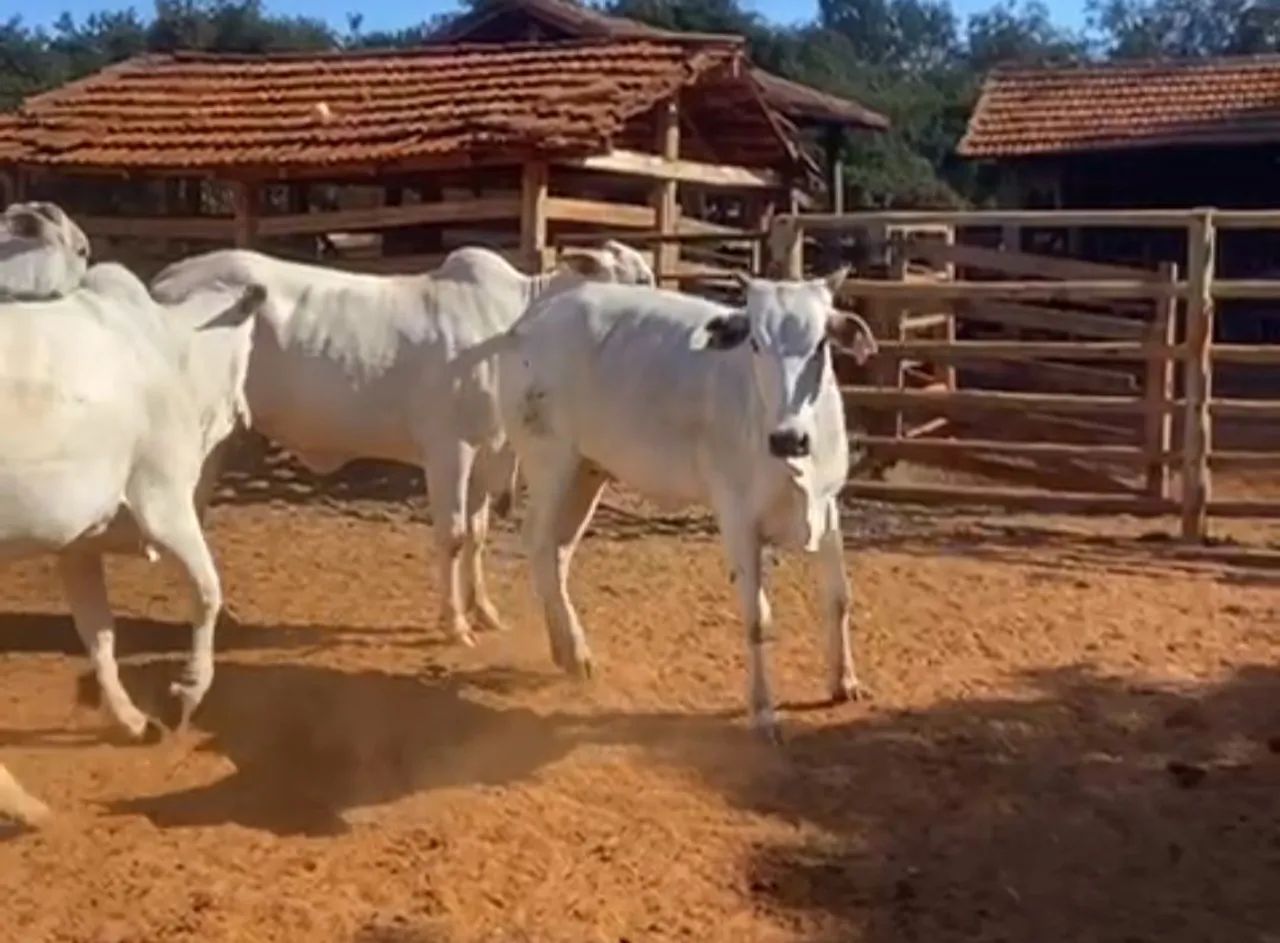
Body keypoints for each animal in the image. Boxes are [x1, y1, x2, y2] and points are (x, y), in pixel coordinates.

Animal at [0, 259, 268, 741]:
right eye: (253, 340)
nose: (245, 415)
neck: (170, 347)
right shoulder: (164, 505)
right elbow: (207, 593)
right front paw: (187, 693)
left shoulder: (78, 543)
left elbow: (98, 634)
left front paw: (132, 720)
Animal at [149, 241, 655, 648]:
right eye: (640, 279)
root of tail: (165, 279)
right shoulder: (450, 448)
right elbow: (453, 536)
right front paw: (455, 623)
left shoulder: (485, 449)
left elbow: (477, 534)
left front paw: (484, 612)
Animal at [493, 270, 877, 738]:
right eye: (755, 343)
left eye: (821, 343)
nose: (788, 438)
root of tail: (534, 317)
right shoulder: (737, 518)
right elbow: (757, 619)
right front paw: (763, 711)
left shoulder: (828, 506)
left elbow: (839, 598)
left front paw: (845, 681)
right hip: (550, 463)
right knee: (538, 543)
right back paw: (576, 651)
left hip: (587, 471)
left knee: (558, 551)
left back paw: (566, 649)